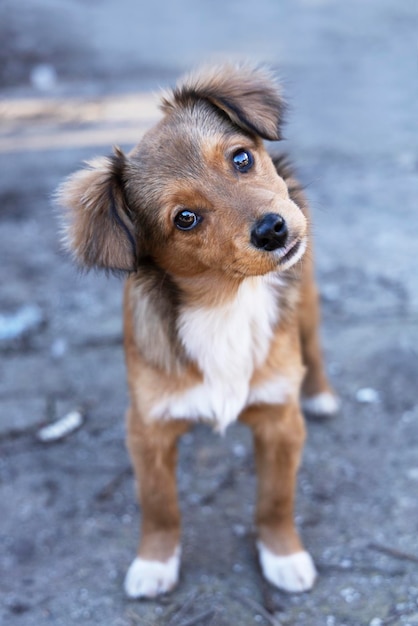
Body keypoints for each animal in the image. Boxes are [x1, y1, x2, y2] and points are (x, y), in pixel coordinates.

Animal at [57, 63, 338, 596]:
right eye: (185, 219)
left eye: (241, 158)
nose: (272, 229)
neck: (225, 304)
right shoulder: (147, 429)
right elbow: (159, 505)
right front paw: (154, 562)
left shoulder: (279, 421)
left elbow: (276, 499)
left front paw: (283, 554)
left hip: (308, 300)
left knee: (313, 346)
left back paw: (320, 394)